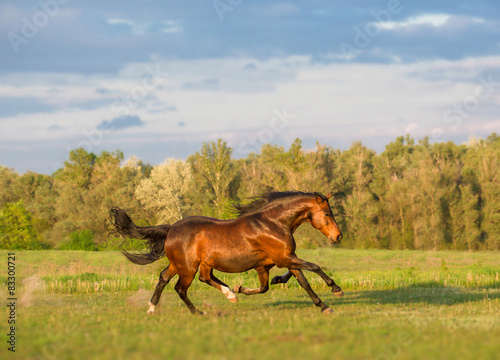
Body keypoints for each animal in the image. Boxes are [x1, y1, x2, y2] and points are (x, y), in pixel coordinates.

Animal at [109, 191, 344, 316]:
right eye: (327, 213)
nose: (338, 236)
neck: (274, 223)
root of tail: (171, 229)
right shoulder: (284, 258)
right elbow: (314, 267)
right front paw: (336, 289)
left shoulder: (278, 261)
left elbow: (295, 283)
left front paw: (323, 306)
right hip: (187, 268)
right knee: (180, 288)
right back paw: (199, 312)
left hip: (184, 264)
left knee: (167, 278)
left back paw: (153, 308)